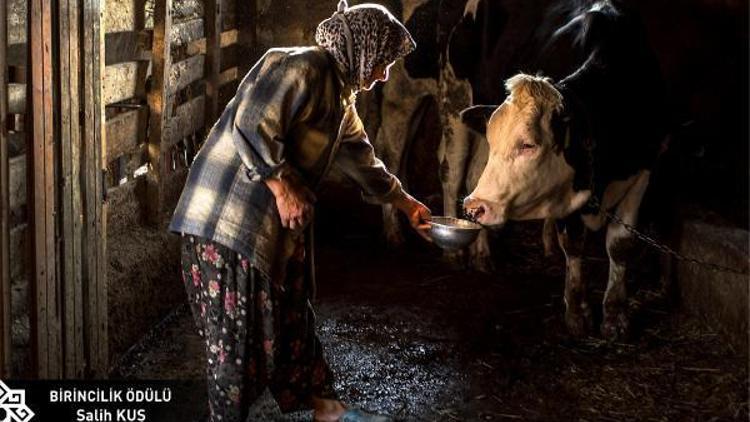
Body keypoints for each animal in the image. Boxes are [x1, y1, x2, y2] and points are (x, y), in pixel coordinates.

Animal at [464, 0, 668, 342]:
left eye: (529, 145)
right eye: (494, 141)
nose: (475, 207)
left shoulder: (644, 168)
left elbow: (621, 244)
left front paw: (615, 315)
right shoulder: (566, 192)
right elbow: (573, 245)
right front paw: (577, 312)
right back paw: (482, 254)